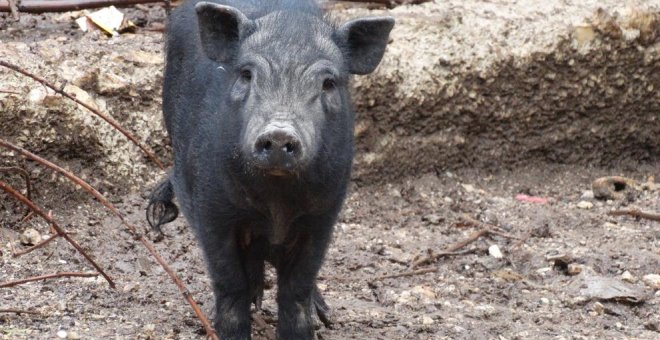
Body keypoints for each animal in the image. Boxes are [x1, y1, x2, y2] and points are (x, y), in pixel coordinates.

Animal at [148, 1, 394, 338]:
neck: (276, 203)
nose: (279, 133)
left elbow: (297, 288)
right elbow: (229, 282)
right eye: (246, 74)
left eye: (329, 82)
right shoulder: (212, 210)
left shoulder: (323, 215)